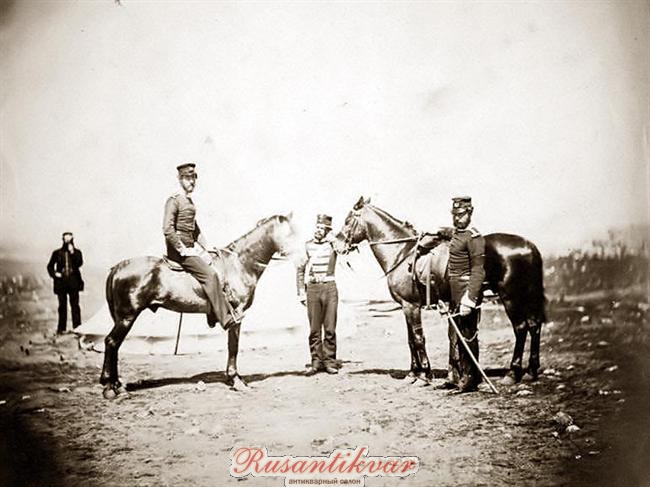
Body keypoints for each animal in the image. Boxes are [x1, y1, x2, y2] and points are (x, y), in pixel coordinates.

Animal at [100, 214, 301, 399]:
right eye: (291, 234)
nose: (302, 259)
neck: (238, 265)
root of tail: (116, 268)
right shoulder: (236, 315)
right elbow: (233, 346)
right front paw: (236, 380)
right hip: (127, 317)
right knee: (111, 342)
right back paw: (110, 388)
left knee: (115, 345)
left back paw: (117, 385)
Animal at [333, 197, 546, 385]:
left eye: (347, 220)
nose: (336, 245)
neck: (403, 253)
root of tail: (529, 246)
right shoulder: (406, 307)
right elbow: (411, 340)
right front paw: (413, 373)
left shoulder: (411, 306)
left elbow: (418, 339)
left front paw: (424, 375)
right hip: (526, 295)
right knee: (534, 325)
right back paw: (531, 371)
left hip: (510, 297)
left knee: (521, 328)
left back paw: (512, 373)